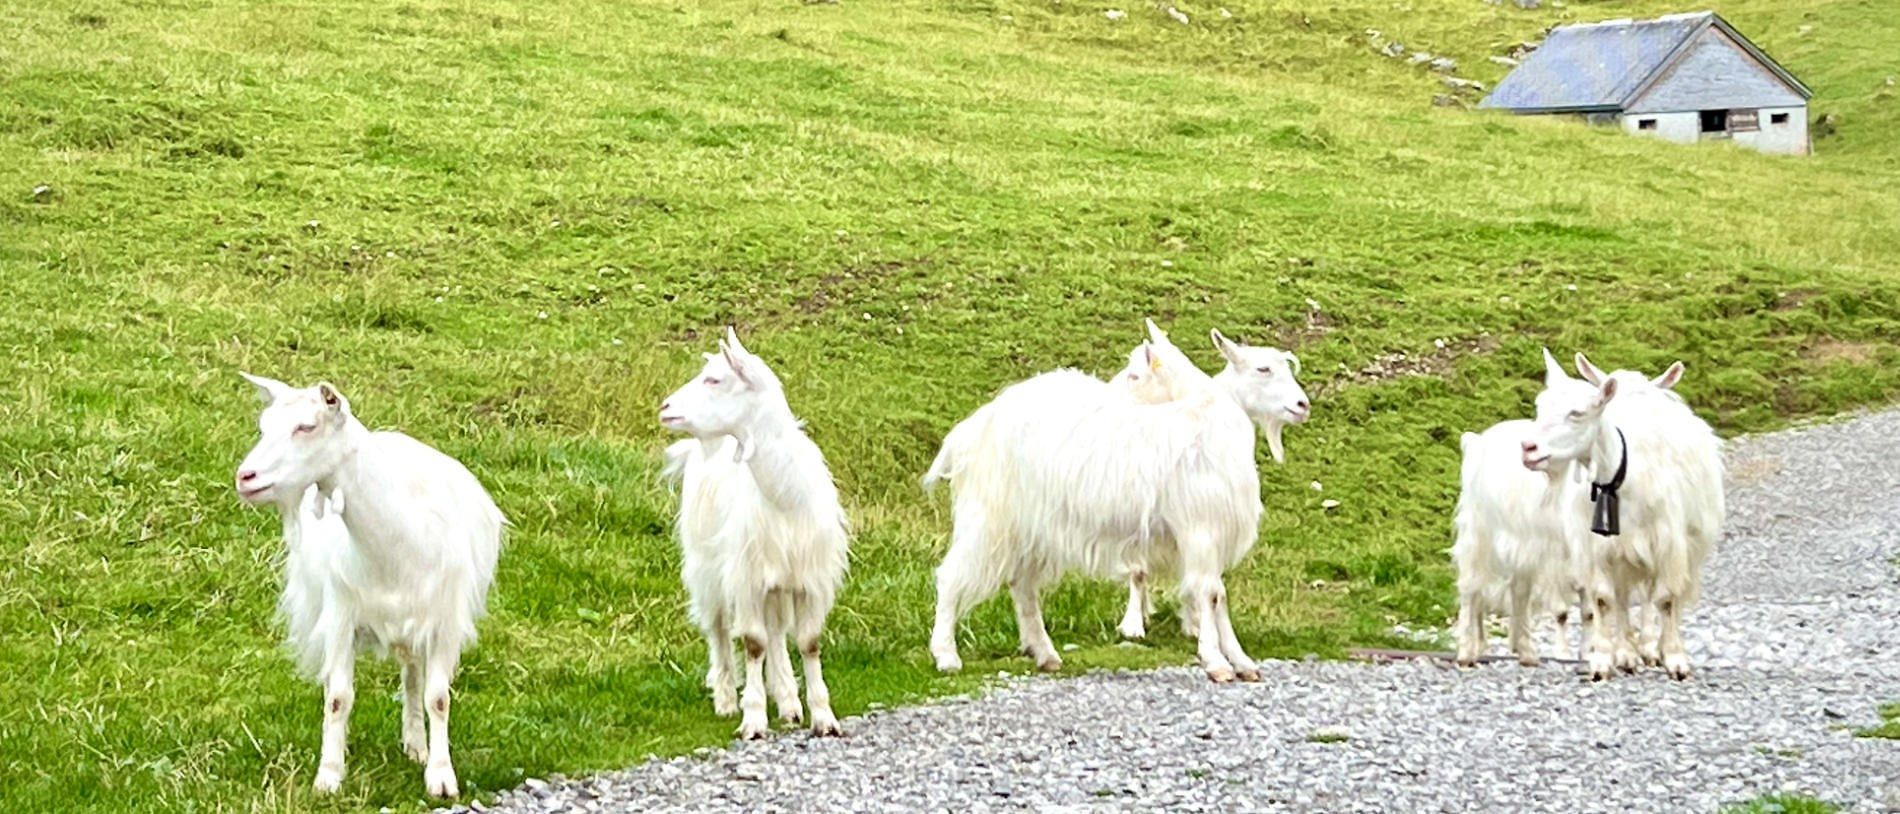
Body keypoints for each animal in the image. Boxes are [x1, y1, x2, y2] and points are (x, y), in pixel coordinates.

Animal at [236, 374, 503, 798]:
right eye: (264, 426)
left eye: (306, 426)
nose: (245, 478)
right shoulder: (340, 616)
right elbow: (338, 698)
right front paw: (329, 775)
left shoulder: (444, 622)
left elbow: (438, 698)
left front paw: (441, 777)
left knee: (413, 677)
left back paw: (417, 746)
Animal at [659, 328, 850, 739]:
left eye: (714, 379)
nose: (665, 407)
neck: (787, 497)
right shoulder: (745, 576)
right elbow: (752, 642)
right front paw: (753, 719)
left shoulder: (811, 578)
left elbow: (808, 642)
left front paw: (823, 717)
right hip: (706, 563)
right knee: (717, 627)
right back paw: (726, 698)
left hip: (776, 579)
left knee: (778, 632)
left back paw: (789, 701)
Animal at [924, 320, 1268, 682]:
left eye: (1134, 375)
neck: (1201, 422)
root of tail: (973, 429)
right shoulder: (1199, 528)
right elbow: (1210, 593)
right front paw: (1217, 663)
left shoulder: (1213, 533)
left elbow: (1219, 596)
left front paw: (1242, 662)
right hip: (990, 516)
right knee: (952, 575)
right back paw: (946, 655)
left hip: (1030, 527)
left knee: (1022, 584)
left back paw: (1044, 653)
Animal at [1521, 350, 1723, 680]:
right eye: (1540, 407)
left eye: (1577, 413)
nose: (1528, 448)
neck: (1619, 476)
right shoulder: (1599, 549)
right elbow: (1606, 601)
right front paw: (1605, 661)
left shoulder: (1667, 542)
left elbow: (1666, 599)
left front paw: (1675, 660)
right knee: (1625, 598)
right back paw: (1628, 653)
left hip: (1689, 546)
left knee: (1663, 597)